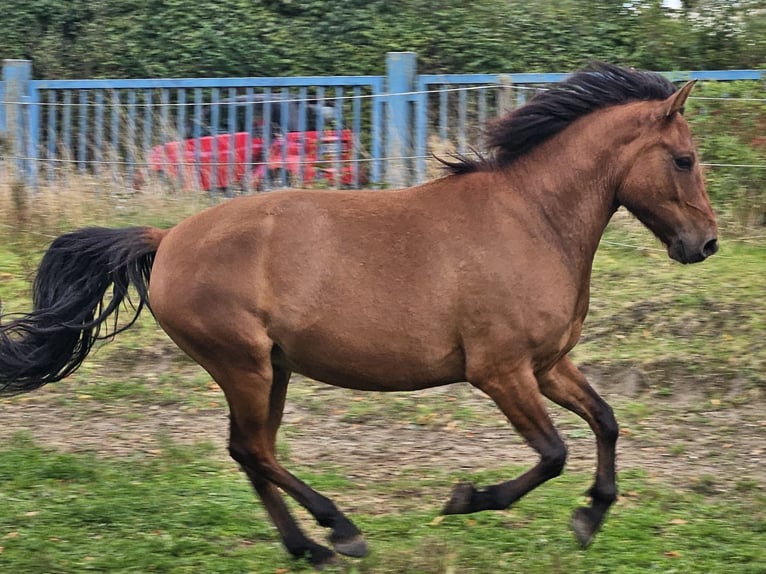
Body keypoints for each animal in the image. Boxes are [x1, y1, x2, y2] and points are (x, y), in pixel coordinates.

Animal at [1, 65, 720, 568]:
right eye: (684, 159)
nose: (706, 244)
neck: (533, 219)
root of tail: (167, 238)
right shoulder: (500, 370)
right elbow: (552, 453)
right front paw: (468, 499)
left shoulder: (547, 364)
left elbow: (606, 421)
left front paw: (590, 518)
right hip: (243, 365)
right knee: (252, 449)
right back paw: (340, 531)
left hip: (272, 369)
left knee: (251, 451)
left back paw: (310, 548)